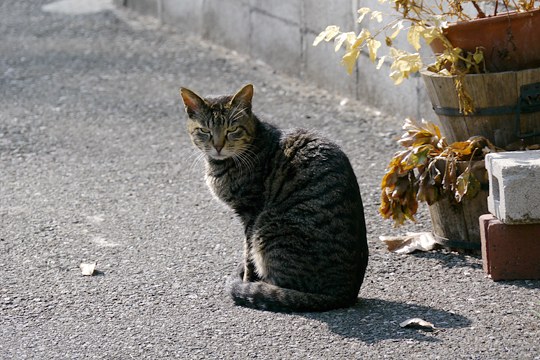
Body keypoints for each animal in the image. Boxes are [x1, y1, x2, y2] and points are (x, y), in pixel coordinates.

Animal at [179, 84, 370, 312]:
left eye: (232, 130)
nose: (217, 146)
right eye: (204, 131)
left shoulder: (250, 213)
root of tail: (345, 293)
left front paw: (247, 281)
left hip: (268, 227)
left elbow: (248, 255)